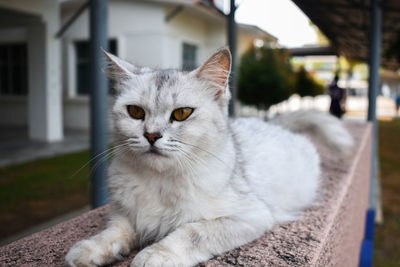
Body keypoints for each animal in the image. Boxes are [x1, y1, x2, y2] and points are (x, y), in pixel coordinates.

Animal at [65, 48, 354, 267]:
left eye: (181, 114)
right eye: (135, 112)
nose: (151, 135)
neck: (160, 181)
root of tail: (275, 123)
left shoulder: (251, 216)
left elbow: (191, 232)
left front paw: (156, 255)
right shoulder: (126, 213)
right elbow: (113, 232)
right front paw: (88, 250)